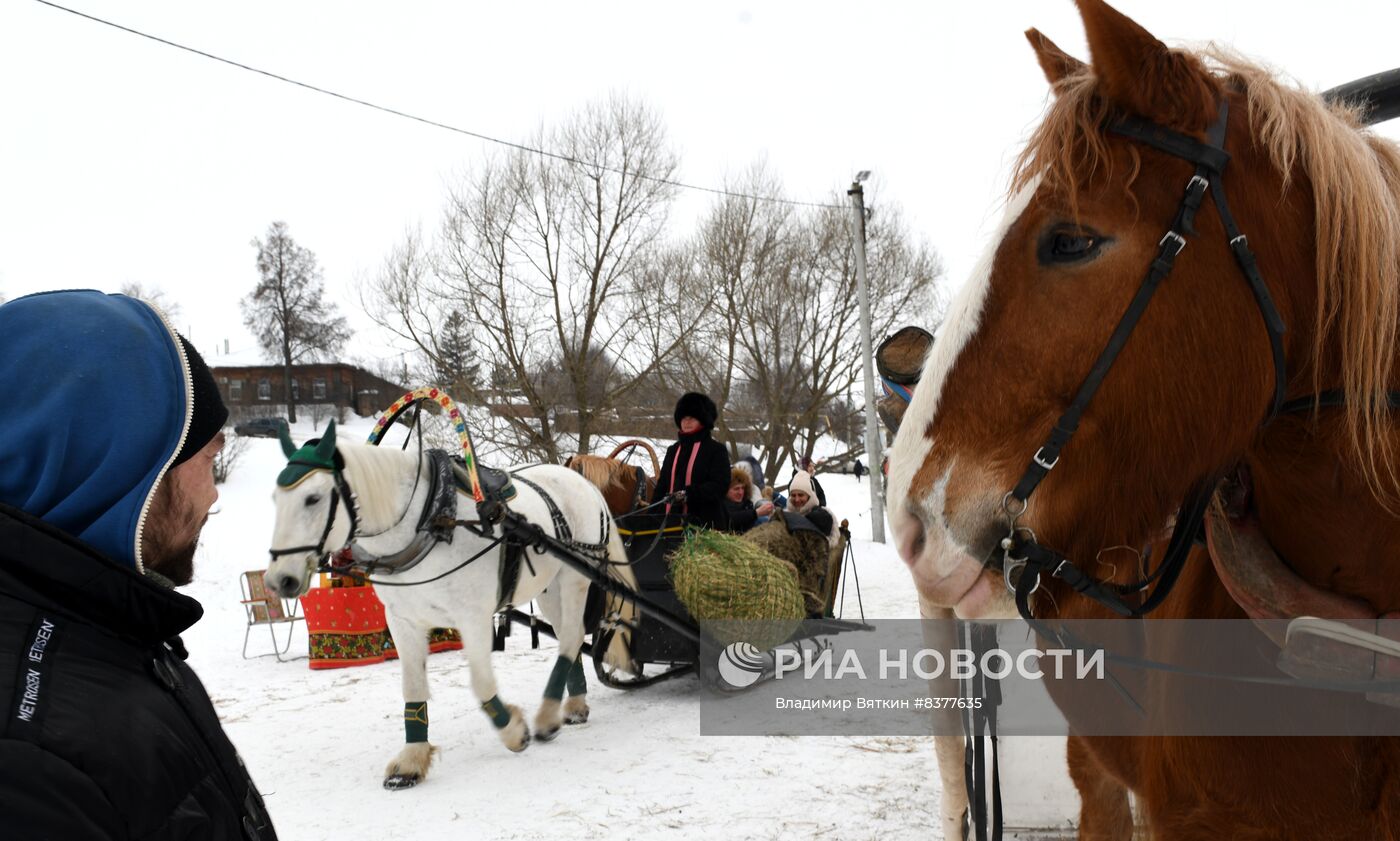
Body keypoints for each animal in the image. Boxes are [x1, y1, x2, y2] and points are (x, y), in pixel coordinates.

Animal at [263, 422, 641, 789]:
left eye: (312, 498)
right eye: (275, 499)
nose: (279, 580)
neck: (430, 520)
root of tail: (585, 484)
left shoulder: (472, 617)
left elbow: (481, 683)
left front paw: (514, 731)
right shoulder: (403, 620)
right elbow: (413, 686)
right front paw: (411, 760)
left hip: (574, 578)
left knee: (572, 636)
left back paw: (547, 716)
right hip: (549, 586)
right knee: (569, 639)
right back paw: (573, 705)